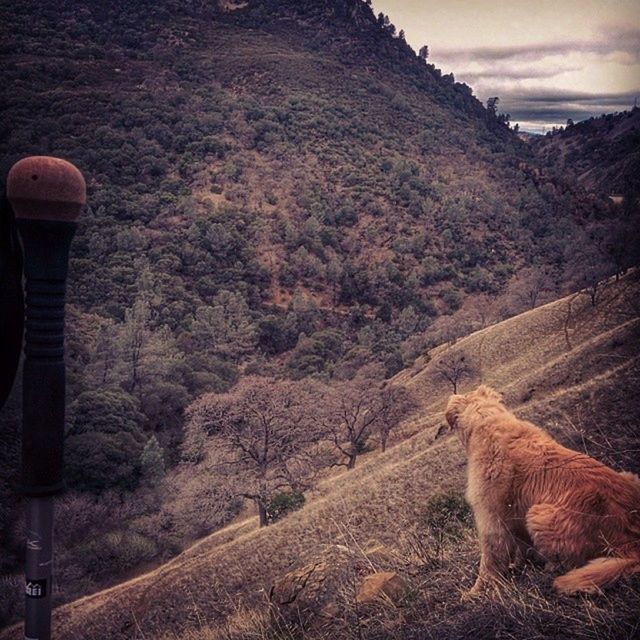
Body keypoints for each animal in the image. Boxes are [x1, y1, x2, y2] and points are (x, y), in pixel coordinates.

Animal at [444, 382, 640, 596]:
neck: (486, 419)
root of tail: (631, 542)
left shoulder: (491, 520)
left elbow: (489, 562)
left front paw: (475, 592)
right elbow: (521, 549)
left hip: (539, 514)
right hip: (629, 476)